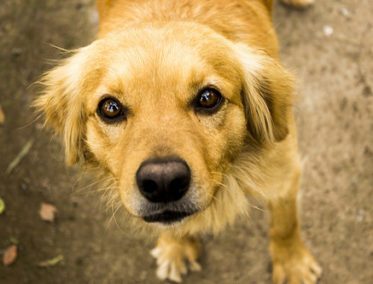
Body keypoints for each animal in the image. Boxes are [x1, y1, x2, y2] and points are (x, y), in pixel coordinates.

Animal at [34, 0, 320, 282]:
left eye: (208, 98)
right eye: (110, 108)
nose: (163, 182)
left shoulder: (283, 171)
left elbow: (285, 225)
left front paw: (293, 265)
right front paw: (176, 247)